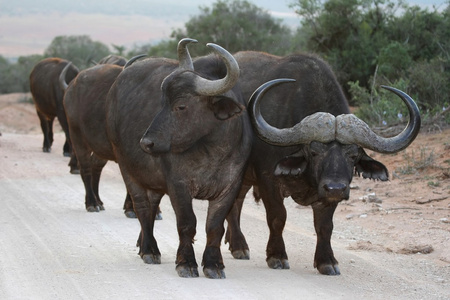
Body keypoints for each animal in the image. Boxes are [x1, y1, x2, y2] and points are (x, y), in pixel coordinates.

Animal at [62, 55, 147, 217]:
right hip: (77, 137)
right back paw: (92, 203)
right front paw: (131, 208)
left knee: (95, 166)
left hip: (100, 147)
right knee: (85, 168)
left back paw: (98, 201)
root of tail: (70, 88)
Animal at [106, 38, 253, 278]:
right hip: (127, 168)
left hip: (154, 180)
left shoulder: (230, 187)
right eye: (162, 102)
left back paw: (143, 243)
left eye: (181, 106)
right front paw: (186, 263)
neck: (212, 150)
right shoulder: (178, 185)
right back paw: (149, 249)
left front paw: (213, 264)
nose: (147, 143)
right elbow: (186, 223)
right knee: (142, 208)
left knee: (152, 206)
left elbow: (215, 226)